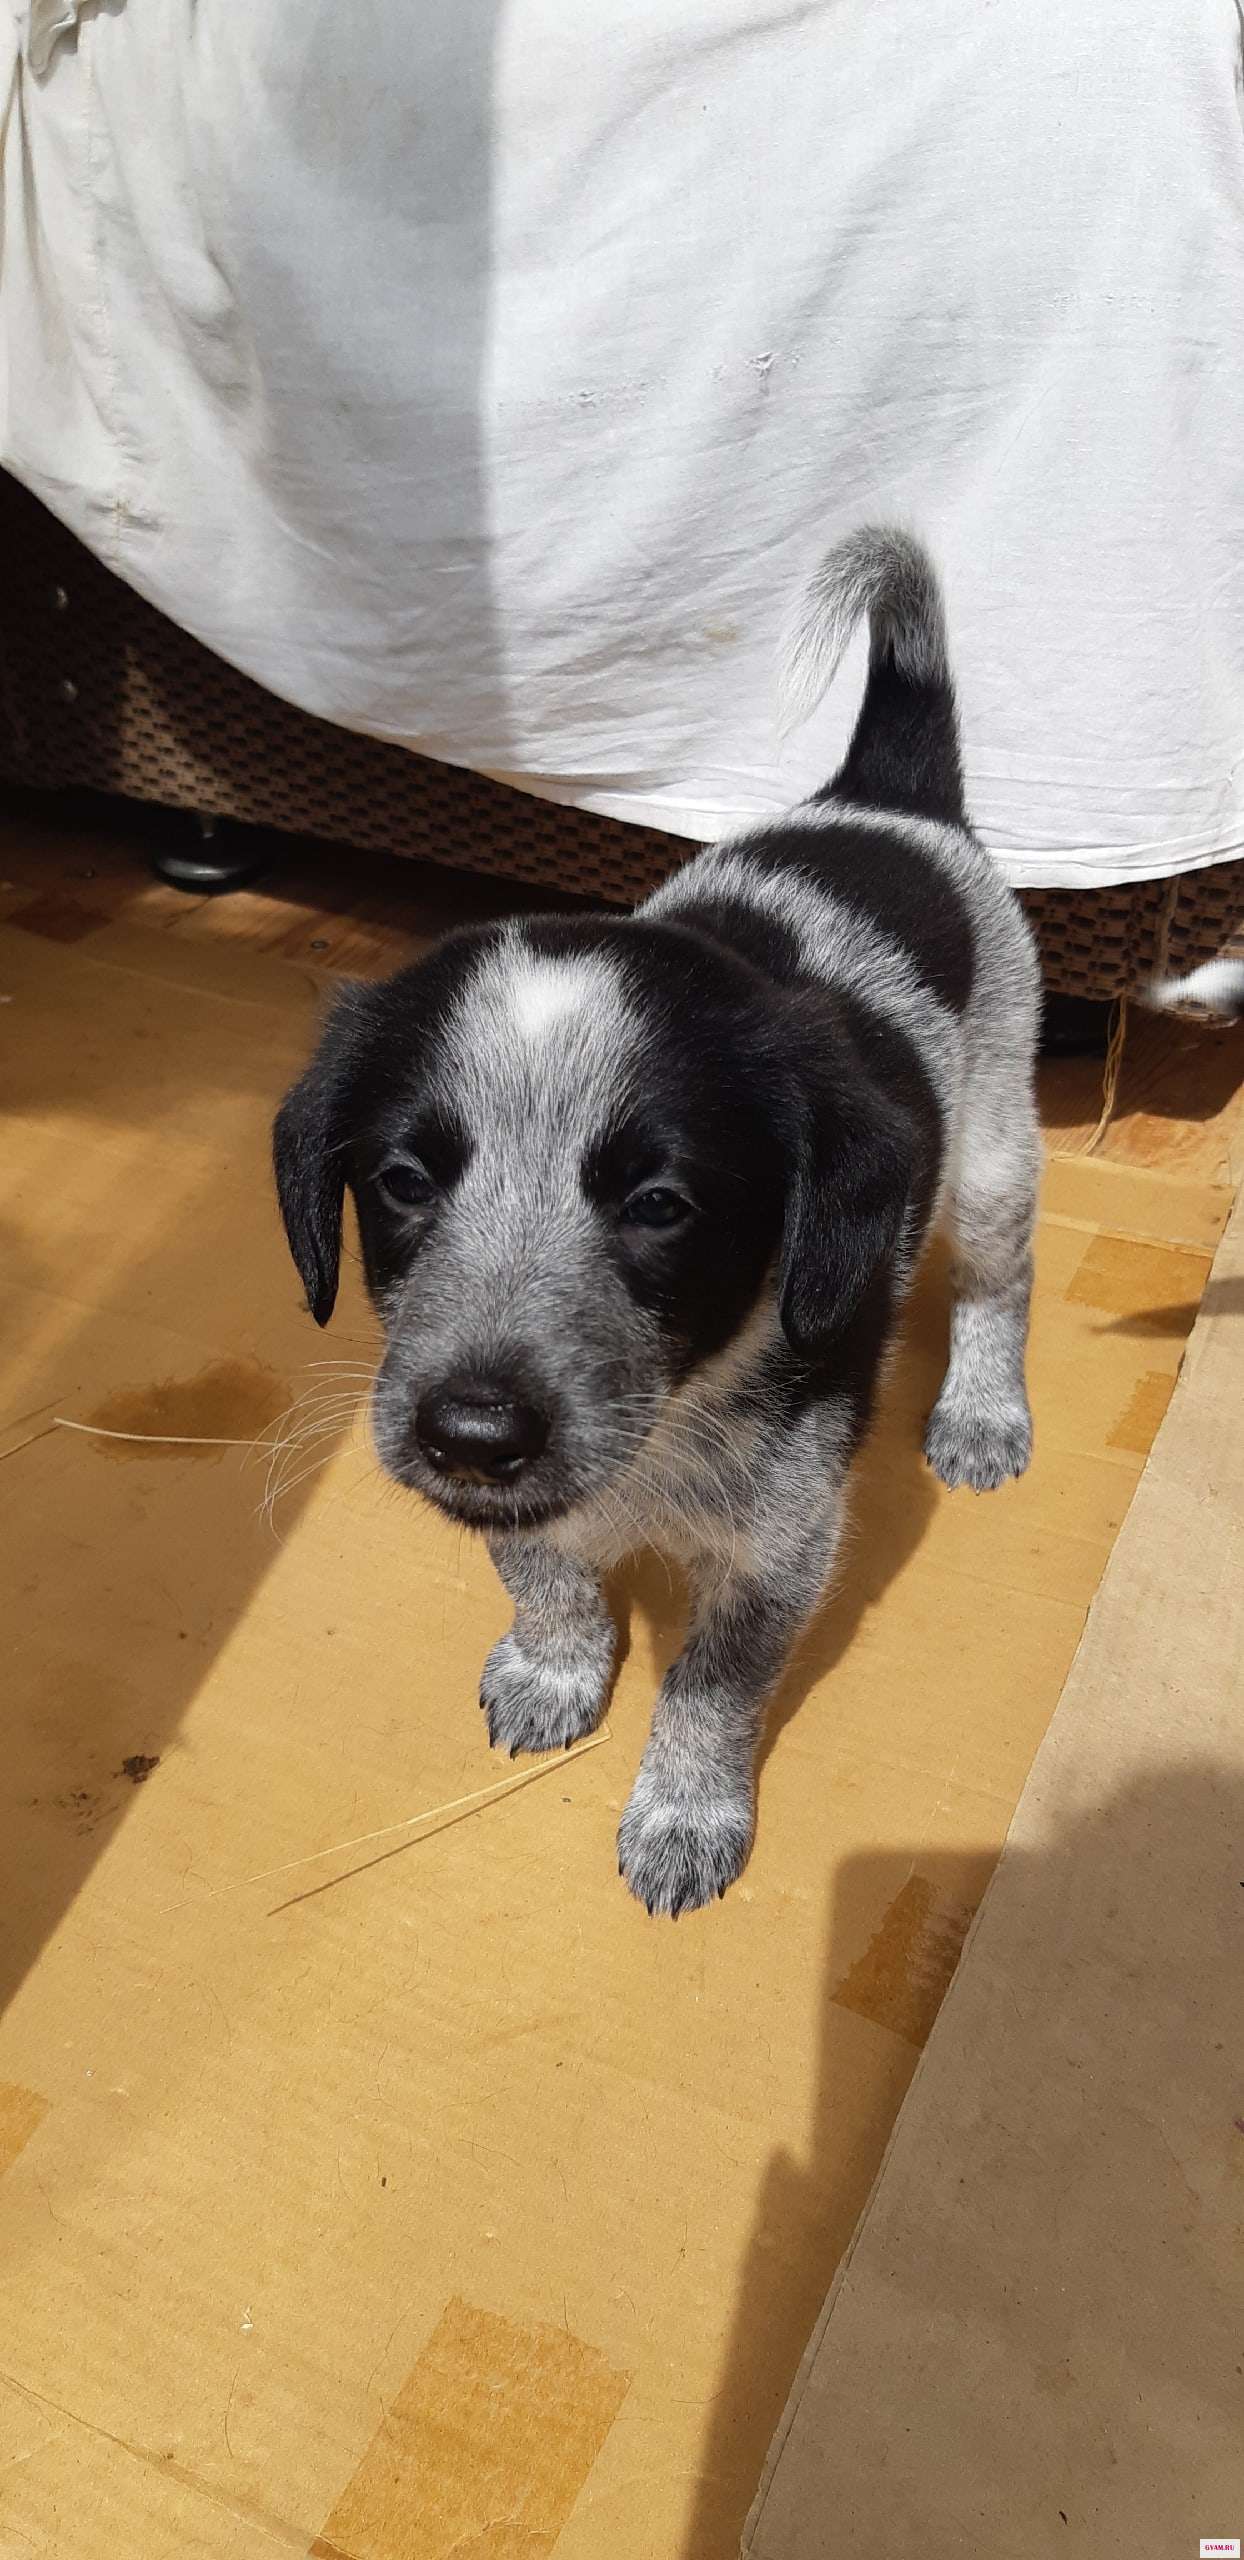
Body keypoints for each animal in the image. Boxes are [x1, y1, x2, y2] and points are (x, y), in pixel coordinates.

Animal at [273, 528, 1043, 1916]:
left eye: (659, 1206)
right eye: (403, 1182)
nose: (470, 1435)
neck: (671, 1417)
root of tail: (885, 801)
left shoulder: (782, 1541)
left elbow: (710, 1686)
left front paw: (685, 1813)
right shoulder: (535, 1507)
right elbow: (542, 1568)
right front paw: (554, 1666)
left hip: (998, 1144)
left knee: (995, 1283)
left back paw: (978, 1410)